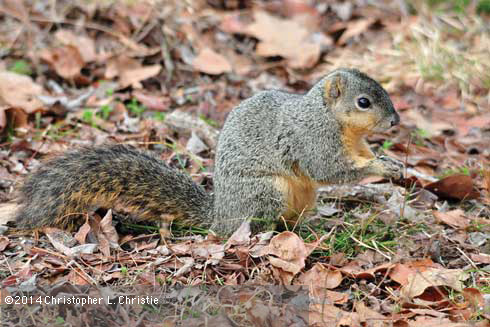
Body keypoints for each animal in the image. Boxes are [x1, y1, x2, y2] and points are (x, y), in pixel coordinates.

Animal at [14, 69, 402, 237]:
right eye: (363, 102)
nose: (396, 121)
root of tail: (219, 215)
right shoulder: (313, 139)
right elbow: (330, 170)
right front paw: (382, 168)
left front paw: (393, 163)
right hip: (266, 192)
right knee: (250, 226)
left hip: (302, 198)